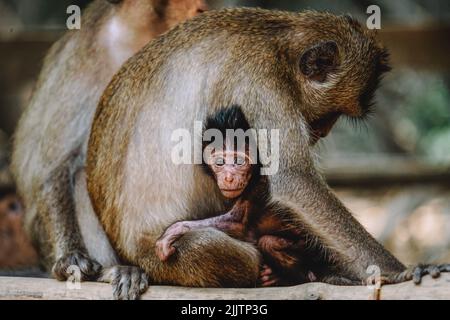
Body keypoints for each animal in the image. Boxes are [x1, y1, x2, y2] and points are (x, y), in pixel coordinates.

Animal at [11, 0, 207, 298]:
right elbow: (48, 166)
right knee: (79, 176)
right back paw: (111, 271)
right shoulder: (83, 55)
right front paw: (71, 258)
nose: (201, 11)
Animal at [156, 106, 314, 286]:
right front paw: (175, 230)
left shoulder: (260, 185)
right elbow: (238, 224)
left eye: (239, 161)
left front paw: (173, 231)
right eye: (220, 162)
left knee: (268, 242)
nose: (229, 177)